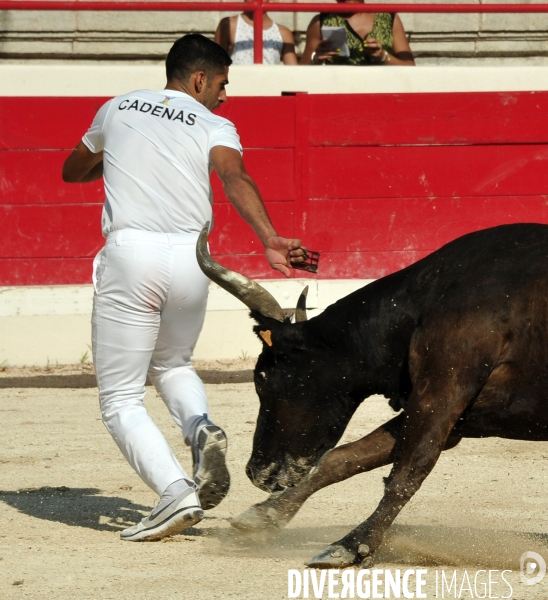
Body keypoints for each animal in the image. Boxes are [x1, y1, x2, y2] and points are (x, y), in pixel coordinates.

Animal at [198, 223, 548, 568]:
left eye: (262, 379)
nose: (255, 470)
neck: (426, 301)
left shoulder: (442, 392)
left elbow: (410, 468)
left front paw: (352, 545)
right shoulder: (457, 415)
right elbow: (344, 457)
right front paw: (265, 515)